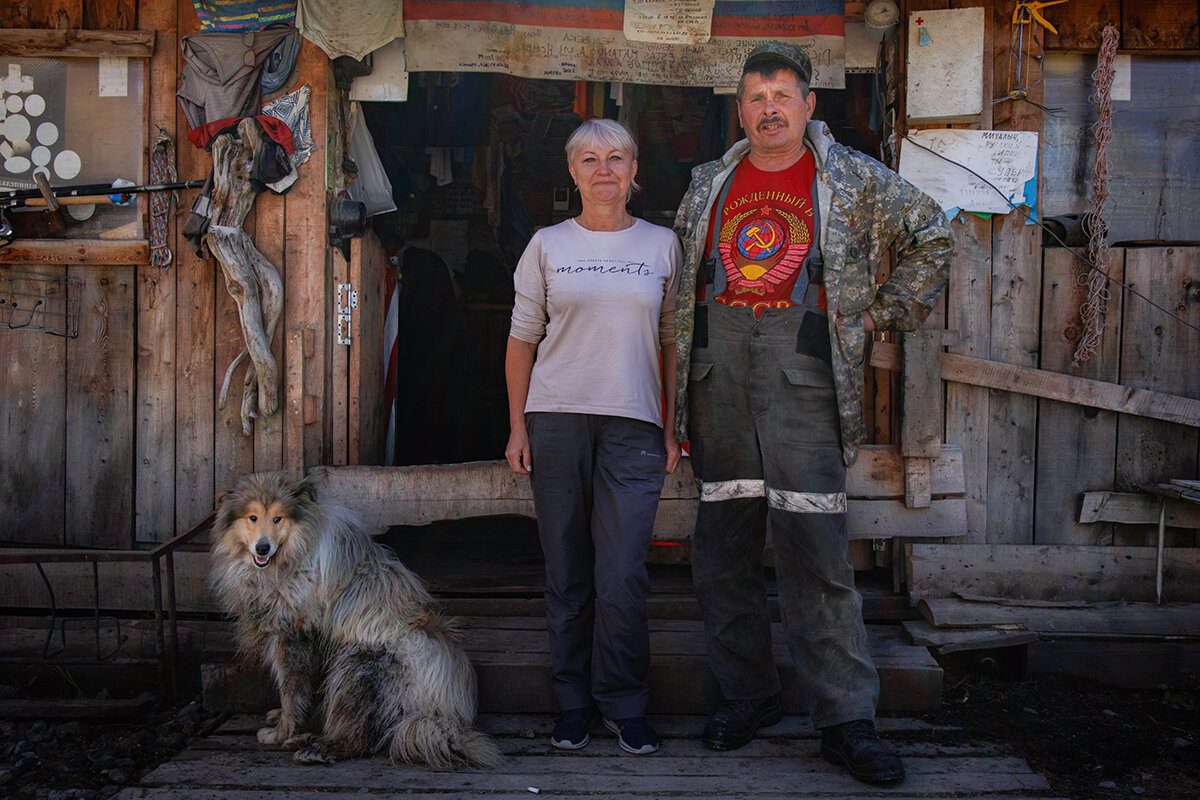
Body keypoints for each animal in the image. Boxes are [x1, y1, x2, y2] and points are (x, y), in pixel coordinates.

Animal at [211, 470, 501, 767]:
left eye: (278, 518)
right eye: (252, 517)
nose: (263, 548)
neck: (295, 551)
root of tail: (444, 707)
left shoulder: (293, 637)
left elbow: (291, 692)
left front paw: (282, 731)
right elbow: (301, 693)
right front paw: (286, 721)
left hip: (356, 666)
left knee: (358, 739)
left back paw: (313, 749)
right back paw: (306, 740)